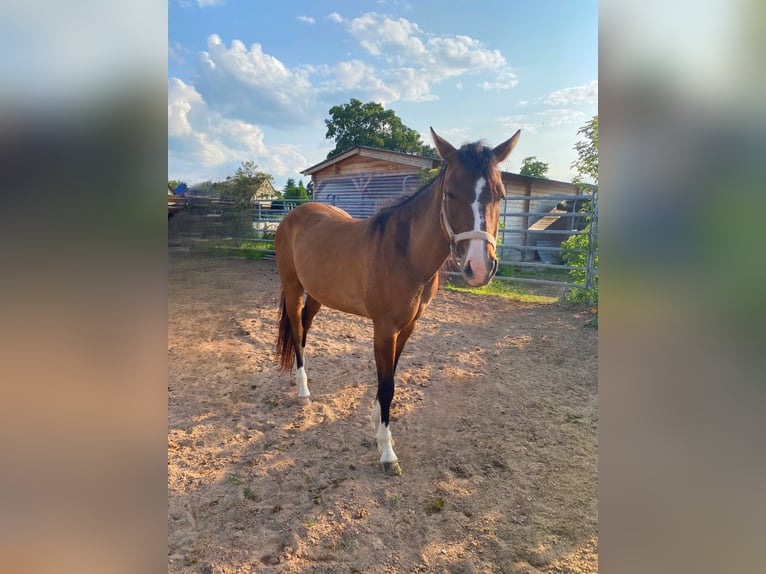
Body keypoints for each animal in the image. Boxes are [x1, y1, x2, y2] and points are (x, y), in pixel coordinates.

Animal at [275, 128, 521, 474]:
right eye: (450, 194)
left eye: (500, 195)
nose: (479, 267)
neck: (405, 254)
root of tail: (292, 216)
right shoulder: (384, 327)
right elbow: (387, 383)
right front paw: (388, 452)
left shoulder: (408, 326)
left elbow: (390, 374)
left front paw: (376, 422)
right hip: (294, 288)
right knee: (297, 333)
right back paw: (303, 390)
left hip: (318, 295)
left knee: (306, 330)